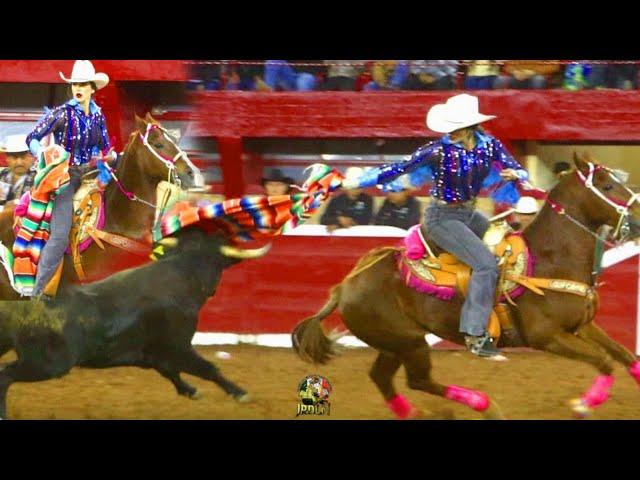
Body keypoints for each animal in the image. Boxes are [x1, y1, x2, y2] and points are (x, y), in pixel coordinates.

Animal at [0, 227, 268, 418]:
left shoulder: (154, 354)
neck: (182, 275)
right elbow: (208, 368)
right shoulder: (178, 346)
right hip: (49, 364)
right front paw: (241, 394)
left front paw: (191, 391)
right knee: (5, 375)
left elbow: (172, 372)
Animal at [292, 152, 640, 418]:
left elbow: (626, 357)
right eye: (608, 185)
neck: (549, 258)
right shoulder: (547, 337)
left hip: (395, 344)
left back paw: (418, 413)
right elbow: (604, 361)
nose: (636, 220)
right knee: (419, 381)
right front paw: (583, 404)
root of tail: (344, 286)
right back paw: (484, 405)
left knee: (383, 378)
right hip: (409, 343)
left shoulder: (583, 326)